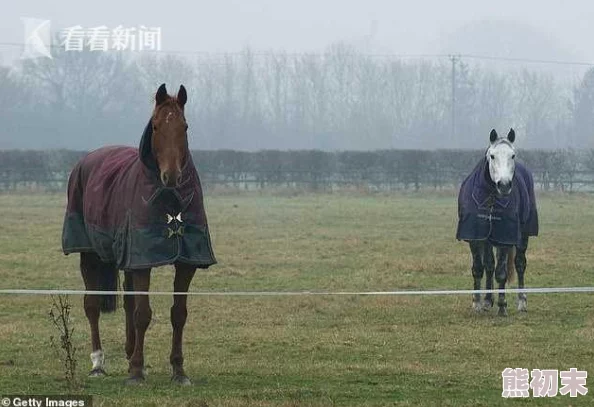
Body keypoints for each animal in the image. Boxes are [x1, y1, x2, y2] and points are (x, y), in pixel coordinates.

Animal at [63, 83, 215, 386]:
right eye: (155, 126)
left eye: (185, 126)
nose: (171, 176)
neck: (171, 204)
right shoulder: (142, 261)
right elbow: (143, 314)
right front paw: (135, 371)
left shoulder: (185, 262)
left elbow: (178, 314)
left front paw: (178, 370)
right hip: (88, 253)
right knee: (92, 304)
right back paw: (98, 363)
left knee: (127, 303)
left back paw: (130, 351)